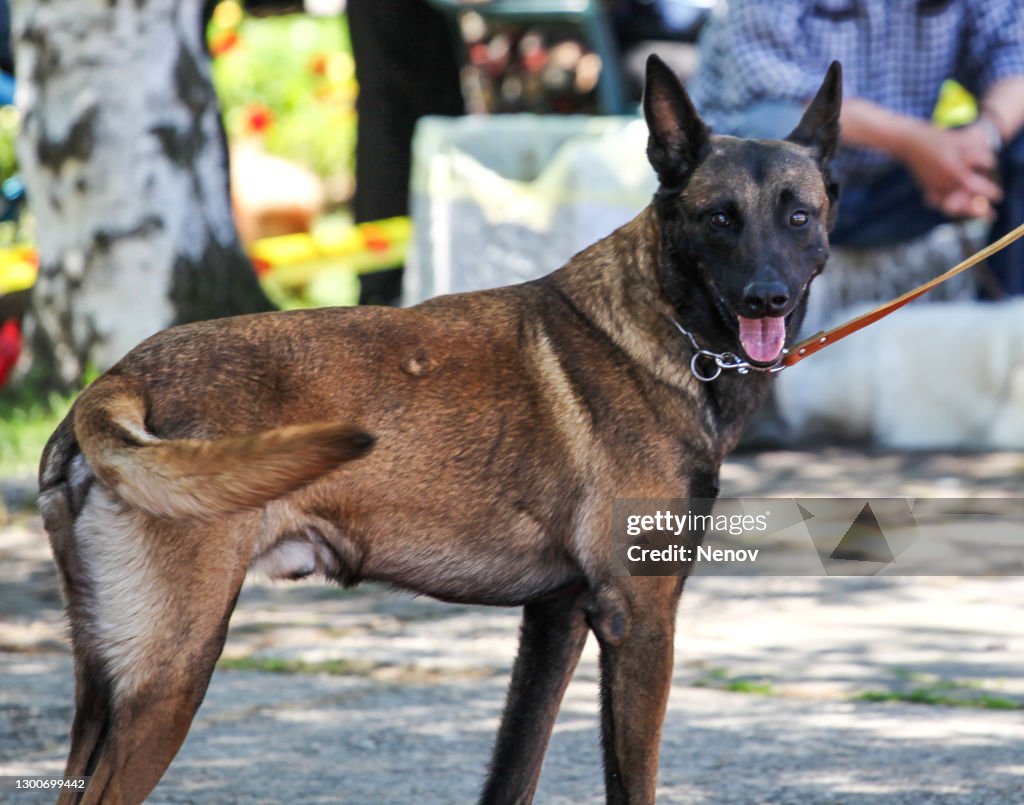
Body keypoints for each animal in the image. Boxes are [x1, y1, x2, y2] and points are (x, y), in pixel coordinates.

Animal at [37, 54, 839, 794]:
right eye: (720, 217)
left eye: (798, 215)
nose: (766, 298)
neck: (661, 320)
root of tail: (120, 377)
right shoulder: (637, 619)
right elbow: (629, 782)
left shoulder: (554, 619)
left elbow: (513, 772)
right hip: (174, 671)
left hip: (103, 687)